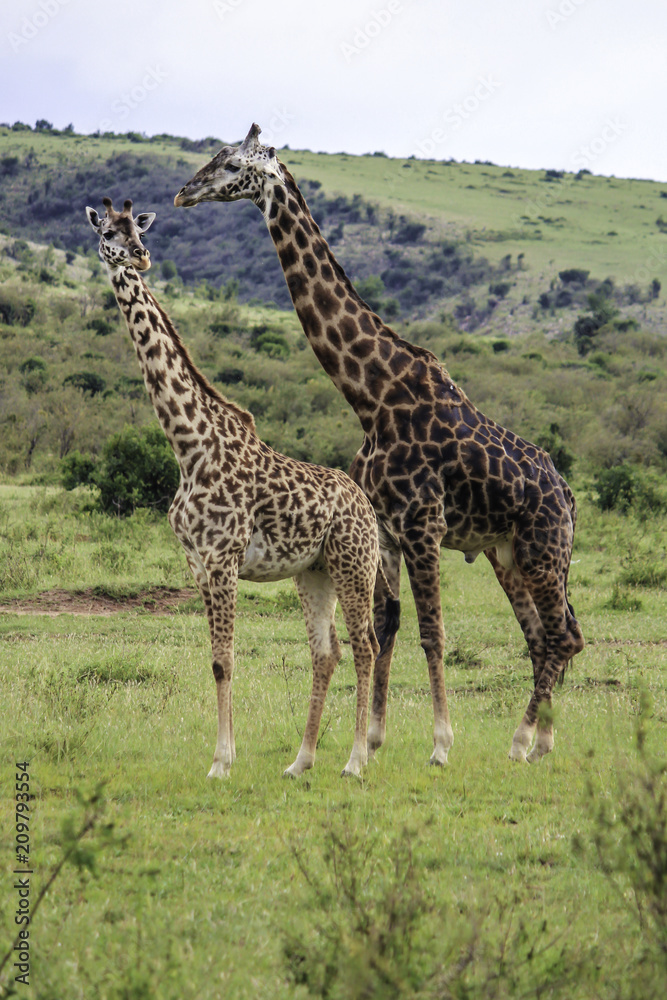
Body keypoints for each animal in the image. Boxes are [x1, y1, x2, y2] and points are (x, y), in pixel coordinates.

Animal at [85, 196, 393, 779]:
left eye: (139, 228)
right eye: (109, 231)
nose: (140, 256)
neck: (188, 445)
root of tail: (366, 505)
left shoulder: (223, 559)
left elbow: (225, 661)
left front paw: (221, 762)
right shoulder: (197, 563)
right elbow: (215, 660)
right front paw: (227, 757)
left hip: (354, 563)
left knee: (365, 644)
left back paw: (355, 761)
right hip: (313, 571)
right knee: (328, 651)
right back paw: (301, 761)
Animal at [174, 124, 585, 766]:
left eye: (234, 164)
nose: (184, 193)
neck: (372, 397)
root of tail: (568, 496)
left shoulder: (423, 524)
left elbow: (431, 631)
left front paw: (440, 744)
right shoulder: (388, 531)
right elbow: (386, 625)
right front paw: (371, 737)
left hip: (544, 549)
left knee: (561, 634)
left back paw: (521, 741)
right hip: (508, 552)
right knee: (548, 634)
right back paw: (539, 740)